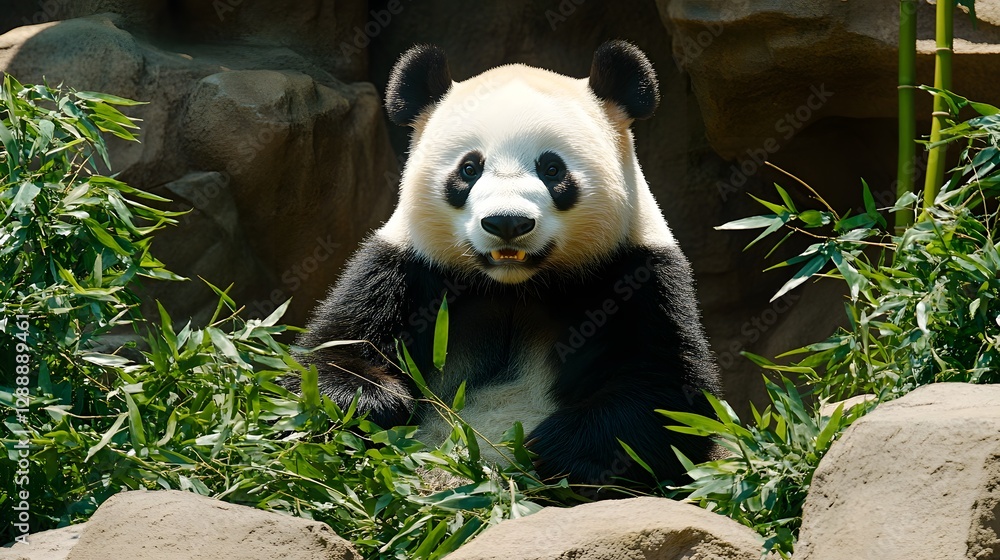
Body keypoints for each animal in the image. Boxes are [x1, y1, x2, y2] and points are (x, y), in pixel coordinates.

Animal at [297, 40, 722, 489]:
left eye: (552, 168)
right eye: (469, 168)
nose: (507, 222)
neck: (514, 285)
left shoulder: (636, 273)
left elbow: (667, 393)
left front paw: (552, 447)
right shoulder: (403, 272)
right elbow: (328, 355)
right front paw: (373, 401)